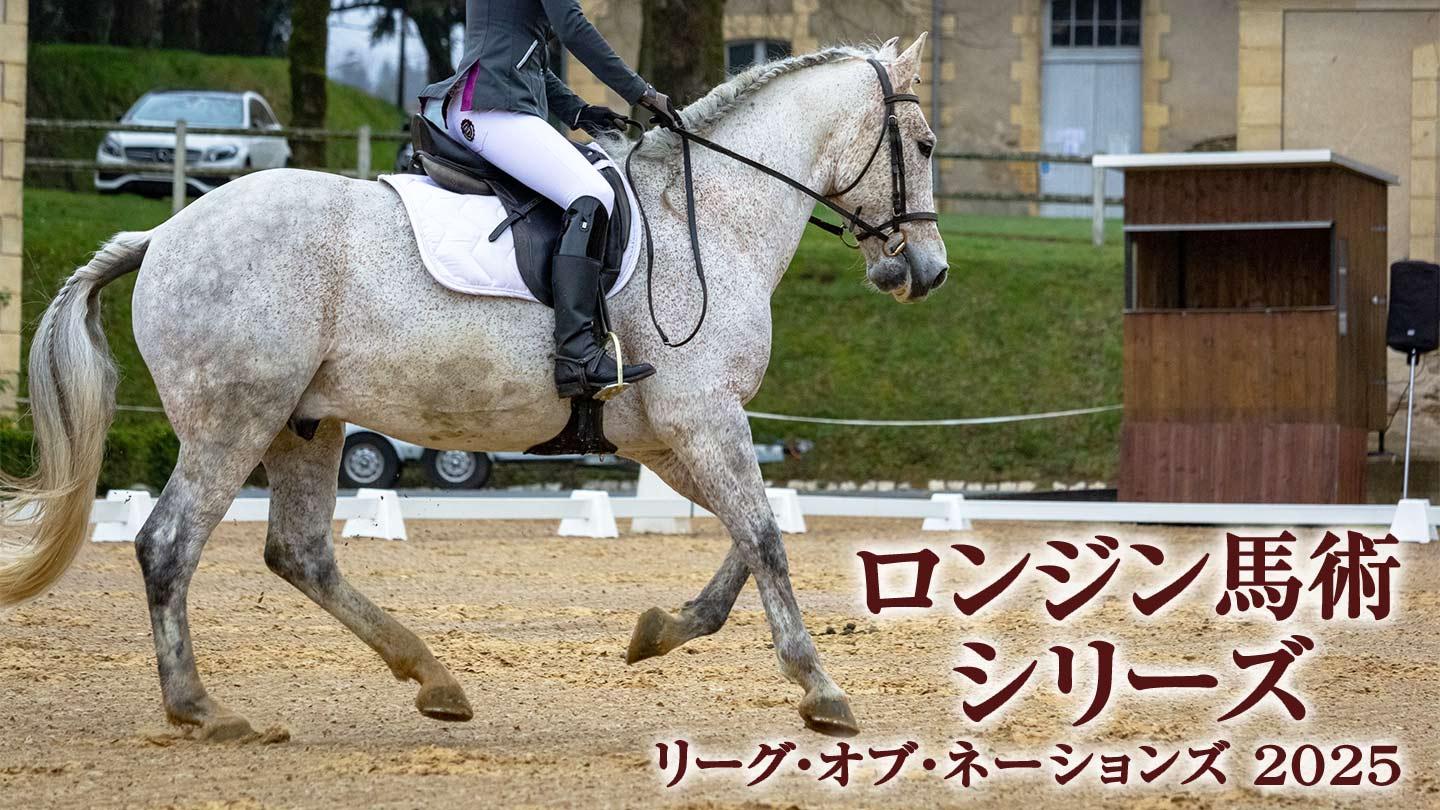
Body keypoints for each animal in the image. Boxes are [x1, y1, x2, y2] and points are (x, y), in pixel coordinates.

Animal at [0, 36, 947, 741]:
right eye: (926, 146)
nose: (927, 272)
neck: (705, 218)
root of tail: (164, 233)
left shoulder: (666, 433)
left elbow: (747, 542)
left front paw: (662, 631)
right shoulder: (703, 416)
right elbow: (765, 539)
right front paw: (821, 692)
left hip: (304, 423)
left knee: (299, 552)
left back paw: (433, 679)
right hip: (234, 421)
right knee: (168, 544)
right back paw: (202, 708)